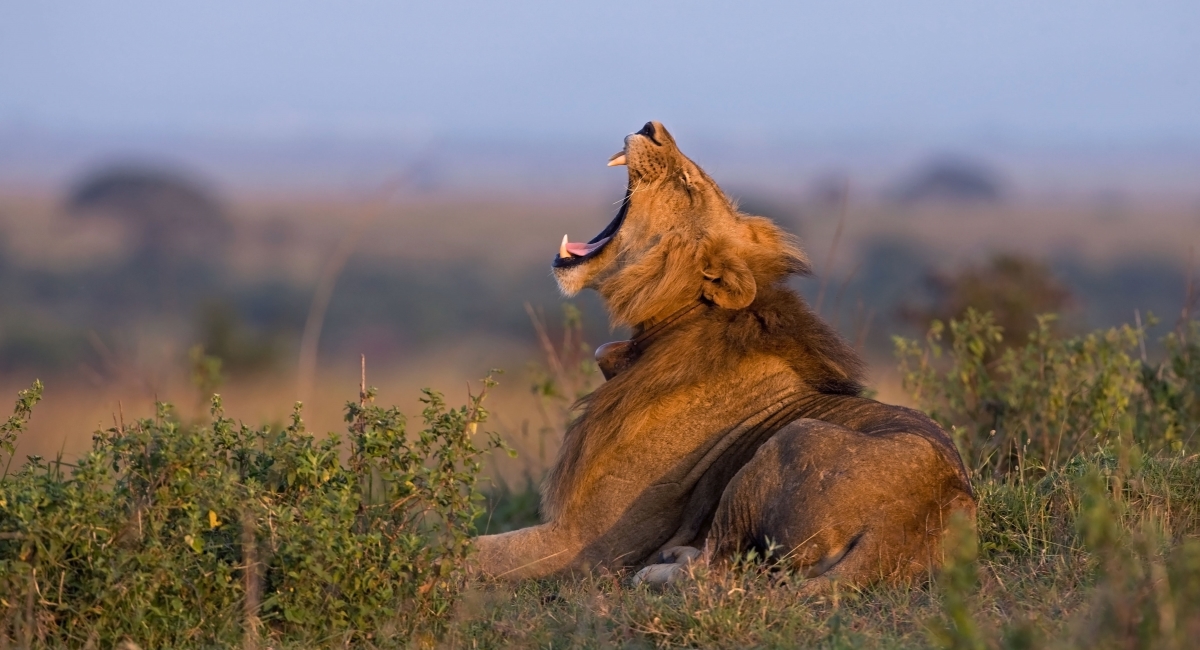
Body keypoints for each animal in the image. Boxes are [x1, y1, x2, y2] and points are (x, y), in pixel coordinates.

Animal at [473, 122, 975, 590]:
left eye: (688, 183)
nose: (651, 127)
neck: (671, 323)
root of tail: (911, 518)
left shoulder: (587, 543)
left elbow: (469, 551)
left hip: (787, 442)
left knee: (718, 569)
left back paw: (661, 569)